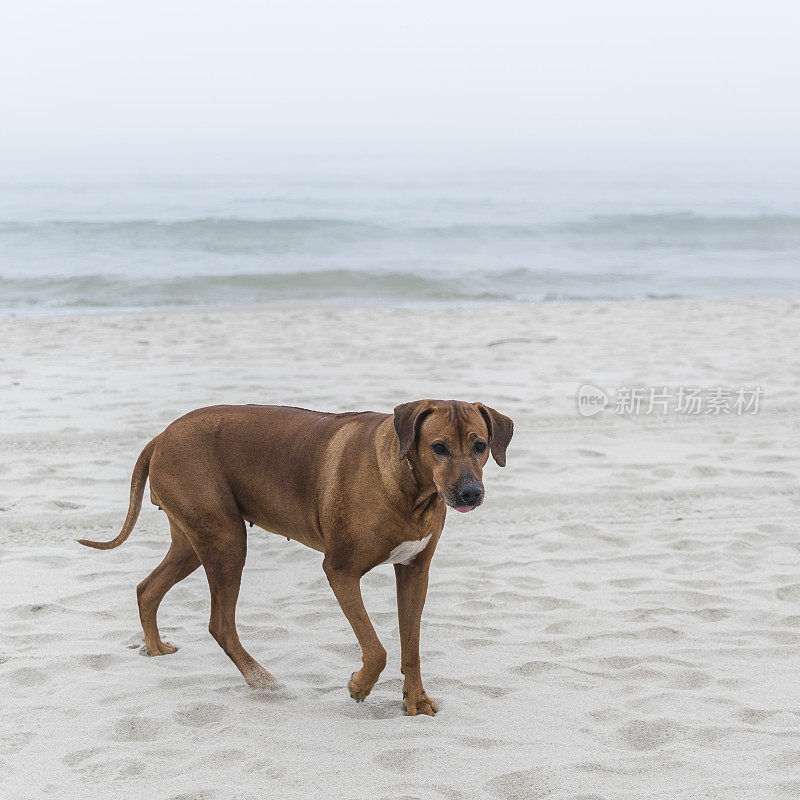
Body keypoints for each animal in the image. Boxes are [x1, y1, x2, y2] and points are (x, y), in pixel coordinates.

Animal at [79, 396, 512, 716]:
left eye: (480, 446)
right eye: (438, 448)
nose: (471, 493)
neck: (411, 488)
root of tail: (162, 435)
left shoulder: (414, 571)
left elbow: (411, 646)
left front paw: (416, 699)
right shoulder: (339, 569)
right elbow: (376, 648)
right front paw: (359, 686)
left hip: (192, 541)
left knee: (147, 588)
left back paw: (154, 648)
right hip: (225, 540)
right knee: (220, 623)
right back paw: (261, 680)